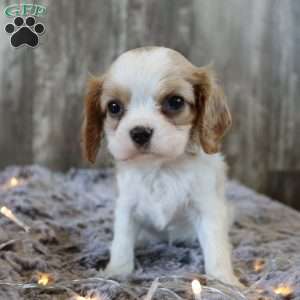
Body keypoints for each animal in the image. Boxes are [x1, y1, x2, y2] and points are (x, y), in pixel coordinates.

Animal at [81, 47, 240, 286]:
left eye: (175, 102)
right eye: (114, 107)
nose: (140, 132)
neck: (161, 168)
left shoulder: (208, 208)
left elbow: (216, 248)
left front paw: (225, 281)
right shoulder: (126, 206)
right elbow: (121, 243)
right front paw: (116, 273)